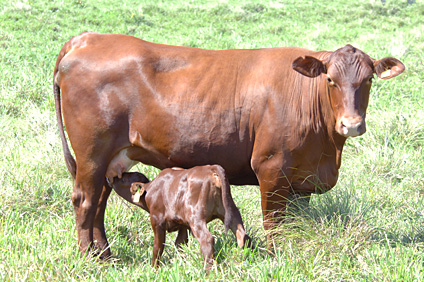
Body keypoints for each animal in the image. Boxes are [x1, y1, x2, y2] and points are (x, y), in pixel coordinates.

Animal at [53, 32, 404, 256]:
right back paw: (89, 258)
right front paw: (276, 256)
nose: (351, 124)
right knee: (85, 200)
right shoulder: (271, 168)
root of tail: (88, 38)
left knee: (100, 200)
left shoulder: (303, 177)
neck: (327, 151)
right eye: (330, 79)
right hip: (92, 152)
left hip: (112, 158)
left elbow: (296, 222)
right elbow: (274, 222)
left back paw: (104, 253)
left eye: (368, 80)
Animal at [112, 166, 252, 268]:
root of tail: (211, 168)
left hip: (196, 217)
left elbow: (158, 247)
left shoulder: (157, 221)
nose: (112, 178)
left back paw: (208, 271)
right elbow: (180, 244)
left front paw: (154, 269)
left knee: (207, 239)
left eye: (124, 179)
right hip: (230, 210)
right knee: (243, 236)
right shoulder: (183, 225)